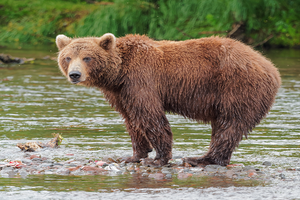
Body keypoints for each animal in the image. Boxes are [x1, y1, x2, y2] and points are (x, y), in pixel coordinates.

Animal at [55, 33, 282, 167]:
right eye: (67, 57)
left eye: (87, 57)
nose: (74, 74)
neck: (118, 74)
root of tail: (271, 68)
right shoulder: (121, 92)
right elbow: (131, 120)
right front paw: (134, 155)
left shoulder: (141, 80)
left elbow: (150, 116)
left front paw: (159, 158)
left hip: (238, 87)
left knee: (229, 125)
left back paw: (202, 158)